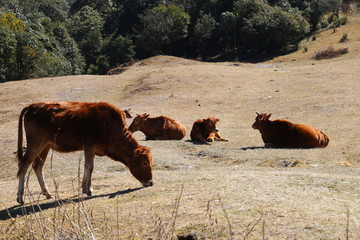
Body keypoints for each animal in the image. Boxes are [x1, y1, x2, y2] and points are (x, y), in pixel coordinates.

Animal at [16, 101, 153, 204]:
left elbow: (88, 167)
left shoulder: (91, 149)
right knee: (23, 166)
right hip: (35, 144)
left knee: (37, 167)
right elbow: (89, 167)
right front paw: (89, 190)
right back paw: (20, 197)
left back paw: (47, 193)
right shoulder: (89, 146)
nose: (151, 182)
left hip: (46, 146)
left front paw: (85, 187)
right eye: (145, 163)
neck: (110, 125)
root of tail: (33, 106)